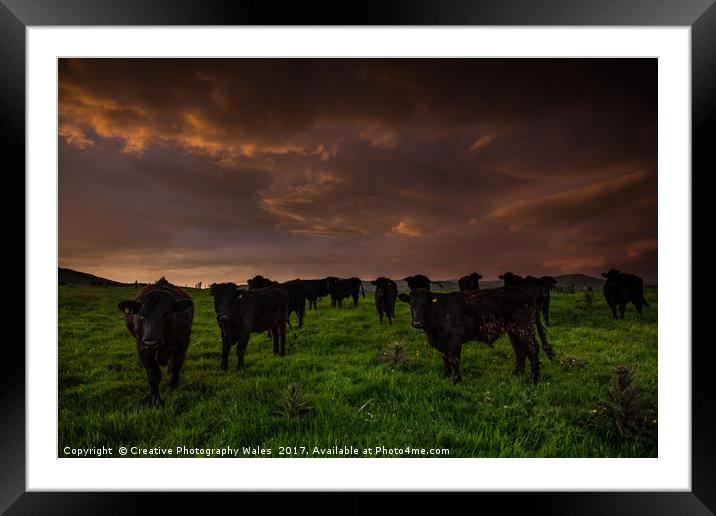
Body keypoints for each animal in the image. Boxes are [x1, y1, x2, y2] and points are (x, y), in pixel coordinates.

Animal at [118, 276, 194, 406]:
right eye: (141, 315)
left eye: (167, 315)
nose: (151, 342)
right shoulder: (142, 347)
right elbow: (153, 375)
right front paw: (156, 401)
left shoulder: (182, 344)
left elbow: (175, 367)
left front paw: (173, 386)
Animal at [400, 288, 552, 384]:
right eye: (411, 304)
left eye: (426, 305)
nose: (417, 323)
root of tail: (524, 294)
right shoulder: (442, 342)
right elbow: (445, 358)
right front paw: (445, 375)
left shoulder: (454, 340)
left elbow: (454, 360)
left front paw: (456, 380)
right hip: (514, 332)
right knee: (520, 351)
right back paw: (517, 374)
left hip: (525, 329)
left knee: (533, 350)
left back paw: (534, 380)